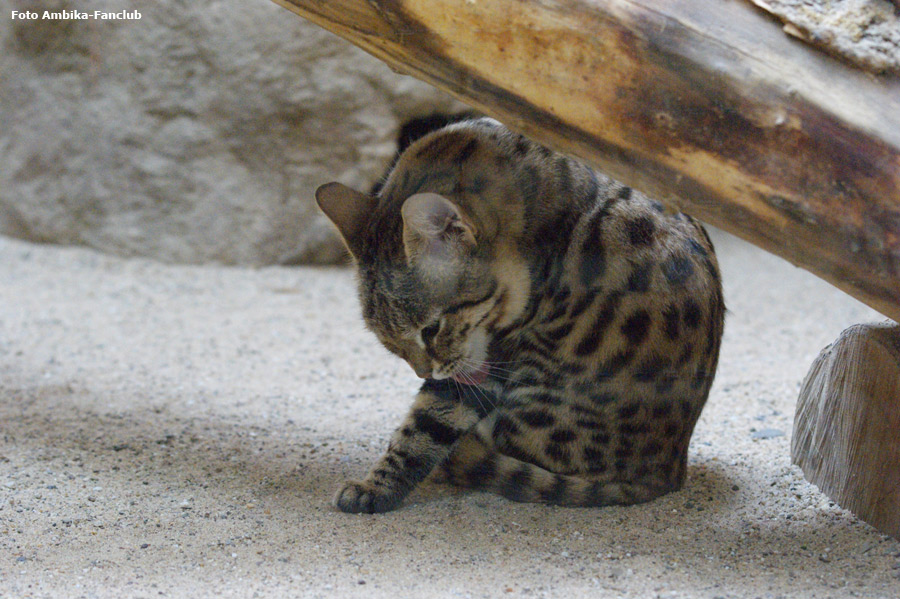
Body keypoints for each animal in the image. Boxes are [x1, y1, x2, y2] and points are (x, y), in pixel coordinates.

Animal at [316, 118, 724, 516]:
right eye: (390, 344)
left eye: (431, 329)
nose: (423, 373)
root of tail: (668, 472)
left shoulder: (489, 358)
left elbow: (423, 427)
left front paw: (374, 487)